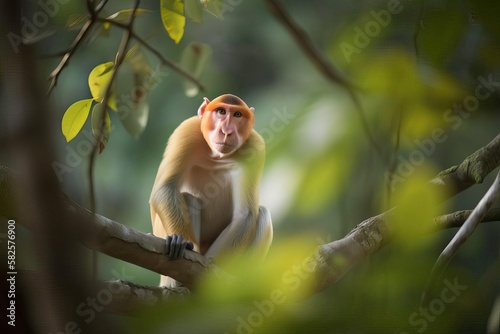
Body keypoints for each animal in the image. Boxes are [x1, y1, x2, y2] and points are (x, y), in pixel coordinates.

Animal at [149, 92, 274, 286]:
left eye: (237, 115)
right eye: (221, 111)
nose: (227, 132)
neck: (217, 155)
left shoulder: (255, 145)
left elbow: (245, 214)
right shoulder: (187, 132)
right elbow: (165, 188)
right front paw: (180, 242)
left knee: (262, 214)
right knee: (188, 197)